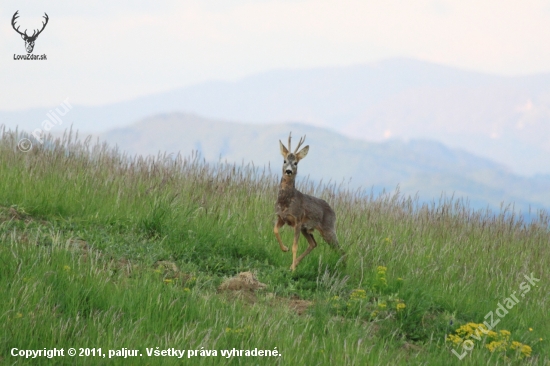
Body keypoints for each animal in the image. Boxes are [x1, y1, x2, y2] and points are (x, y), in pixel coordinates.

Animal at [274, 133, 344, 270]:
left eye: (295, 163)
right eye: (284, 161)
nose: (288, 171)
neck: (286, 202)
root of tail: (333, 212)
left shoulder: (297, 220)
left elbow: (295, 246)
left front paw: (293, 270)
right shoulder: (281, 217)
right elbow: (275, 231)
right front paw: (285, 249)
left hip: (328, 229)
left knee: (340, 249)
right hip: (306, 229)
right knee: (313, 243)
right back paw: (293, 264)